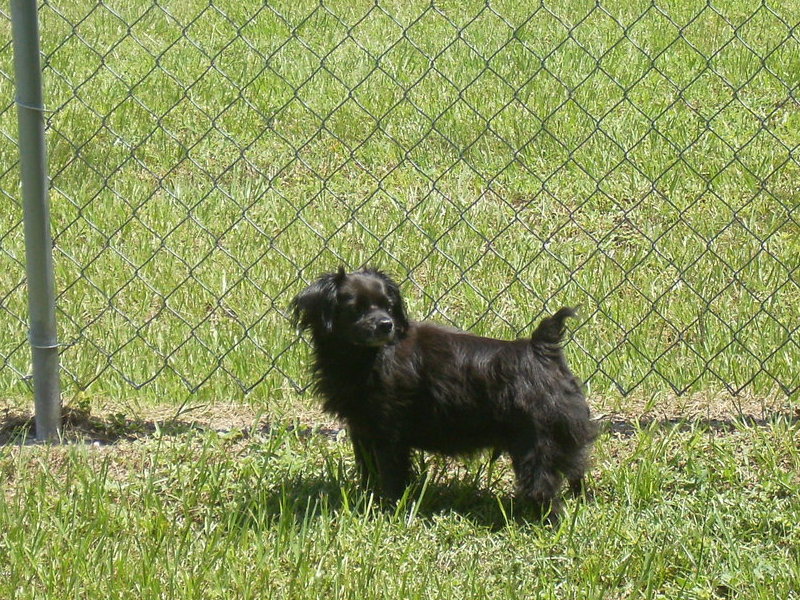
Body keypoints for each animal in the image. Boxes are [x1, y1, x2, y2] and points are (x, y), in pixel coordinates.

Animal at [290, 268, 596, 520]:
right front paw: (366, 499)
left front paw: (389, 508)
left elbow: (391, 474)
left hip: (536, 443)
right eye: (355, 309)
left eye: (389, 307)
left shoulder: (389, 433)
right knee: (575, 470)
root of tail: (541, 348)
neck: (367, 356)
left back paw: (543, 521)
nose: (386, 324)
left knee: (543, 487)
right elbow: (368, 468)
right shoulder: (363, 429)